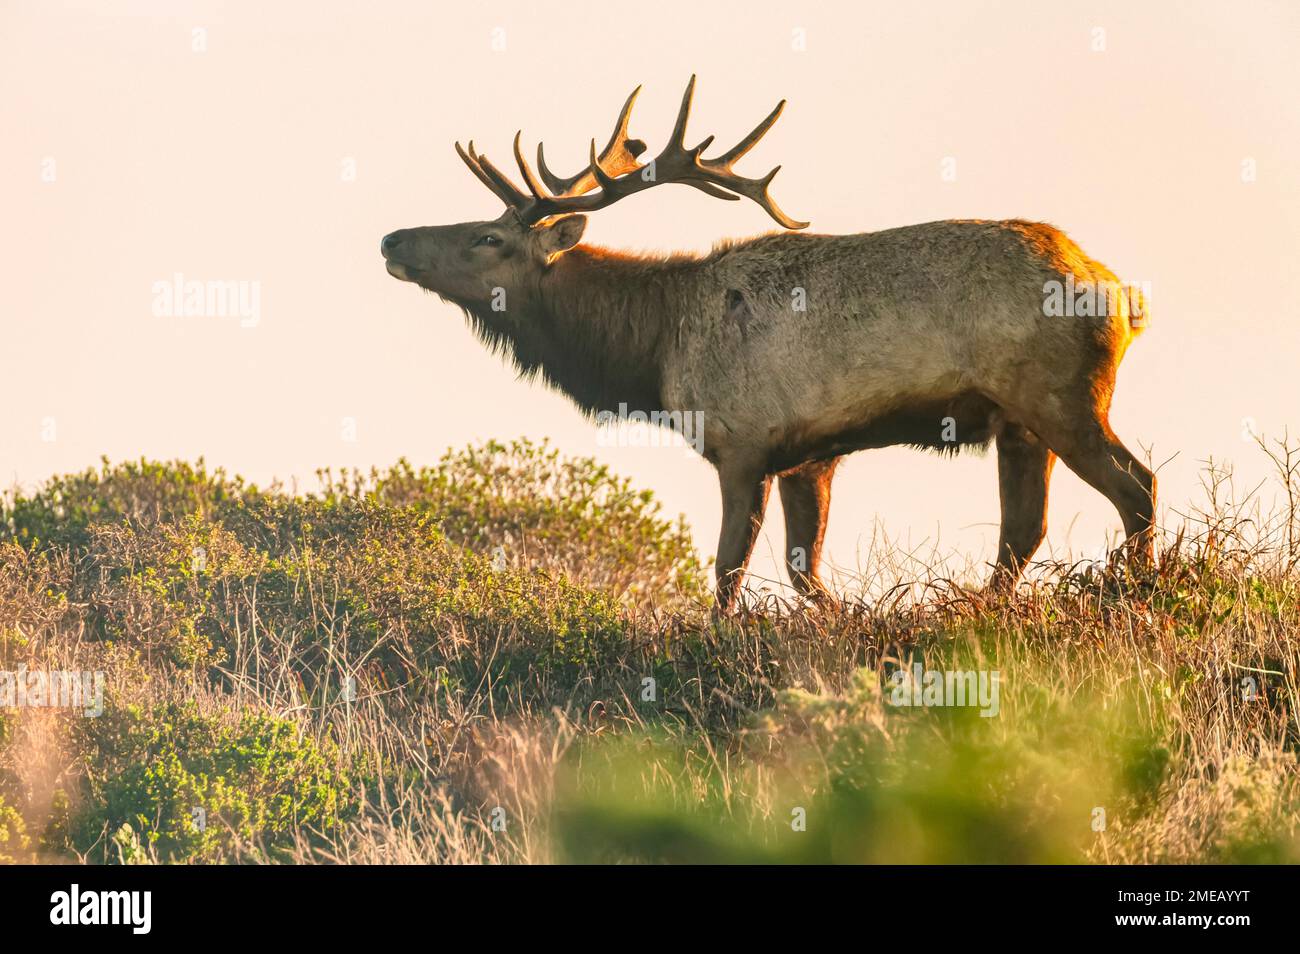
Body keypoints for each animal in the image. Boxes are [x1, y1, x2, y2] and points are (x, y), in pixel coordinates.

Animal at [380, 78, 1156, 613]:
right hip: (1020, 424)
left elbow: (728, 573)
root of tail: (1121, 296)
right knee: (1023, 529)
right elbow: (802, 569)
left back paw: (1141, 596)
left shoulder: (742, 442)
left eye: (488, 237)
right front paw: (850, 618)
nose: (392, 239)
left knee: (1136, 486)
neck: (652, 350)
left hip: (1061, 397)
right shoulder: (808, 454)